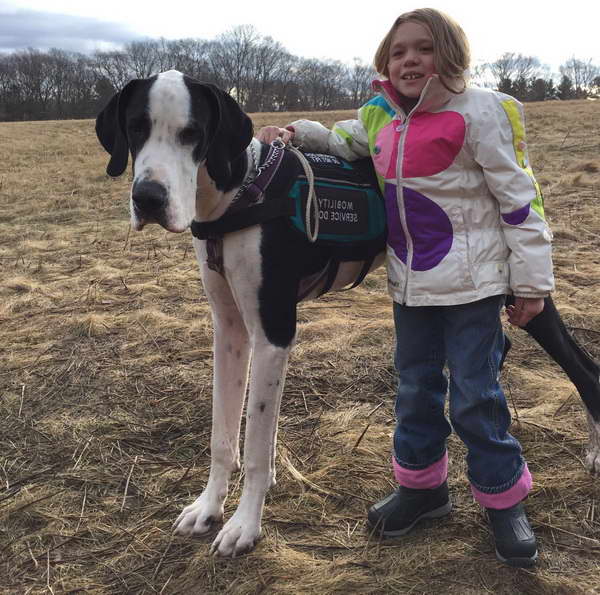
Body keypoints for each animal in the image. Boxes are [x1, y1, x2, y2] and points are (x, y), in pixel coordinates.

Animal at [97, 71, 600, 560]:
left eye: (193, 133)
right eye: (136, 129)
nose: (148, 198)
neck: (240, 192)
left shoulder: (274, 330)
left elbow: (256, 444)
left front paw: (244, 525)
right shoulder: (230, 331)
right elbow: (224, 435)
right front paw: (208, 507)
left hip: (523, 288)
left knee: (581, 365)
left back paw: (594, 448)